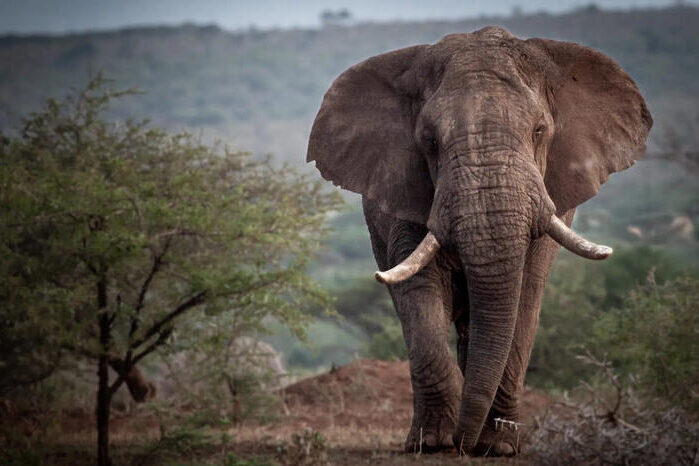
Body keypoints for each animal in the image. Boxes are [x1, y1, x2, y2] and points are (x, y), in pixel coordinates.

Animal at [306, 26, 652, 456]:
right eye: (430, 141)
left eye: (539, 131)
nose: (462, 443)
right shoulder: (403, 189)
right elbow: (419, 291)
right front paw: (433, 443)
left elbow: (526, 294)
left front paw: (498, 447)